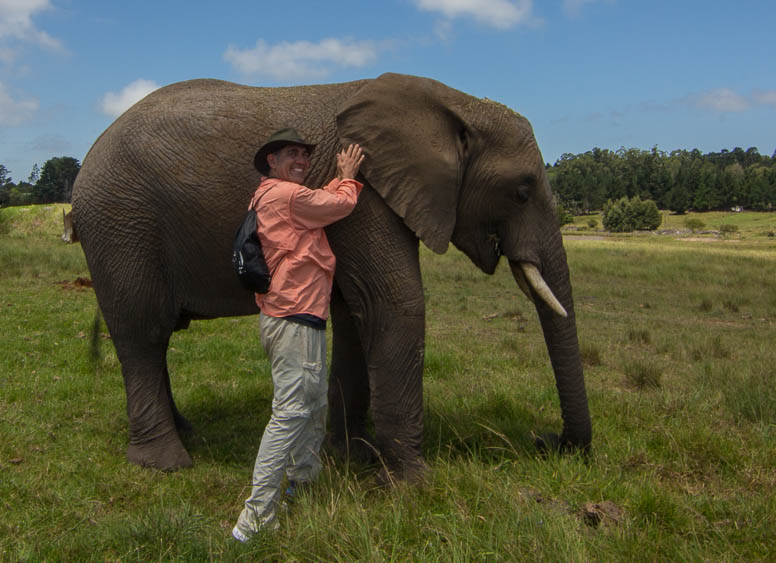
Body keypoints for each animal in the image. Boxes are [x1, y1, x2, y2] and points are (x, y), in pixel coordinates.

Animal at [71, 72, 591, 481]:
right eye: (522, 191)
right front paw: (411, 484)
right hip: (121, 225)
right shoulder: (368, 197)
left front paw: (352, 456)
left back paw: (186, 433)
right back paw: (166, 462)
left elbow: (357, 314)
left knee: (153, 341)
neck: (454, 104)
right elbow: (395, 304)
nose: (549, 442)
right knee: (143, 334)